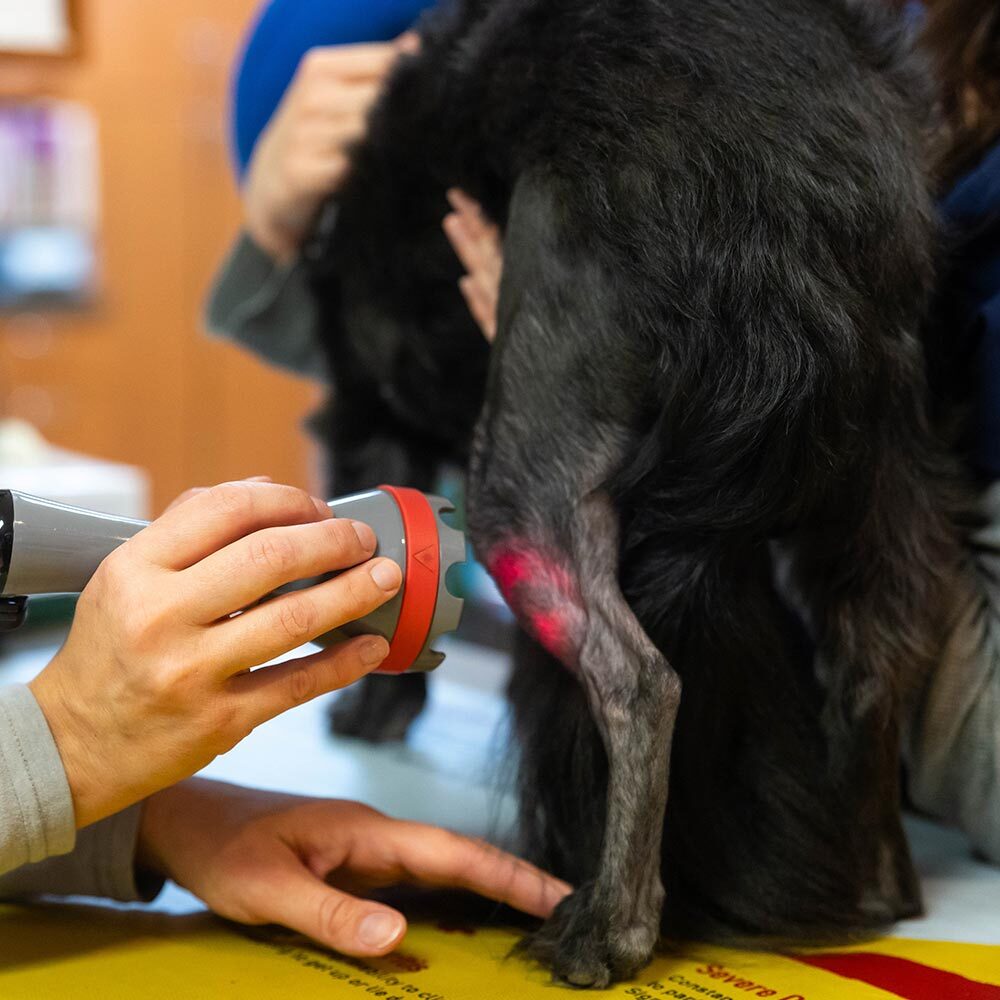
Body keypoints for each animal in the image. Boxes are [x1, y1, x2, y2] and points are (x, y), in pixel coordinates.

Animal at [306, 0, 968, 984]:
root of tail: (786, 166)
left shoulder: (369, 416)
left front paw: (370, 707)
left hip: (525, 491)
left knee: (643, 682)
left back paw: (608, 927)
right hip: (881, 477)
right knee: (873, 669)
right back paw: (883, 883)